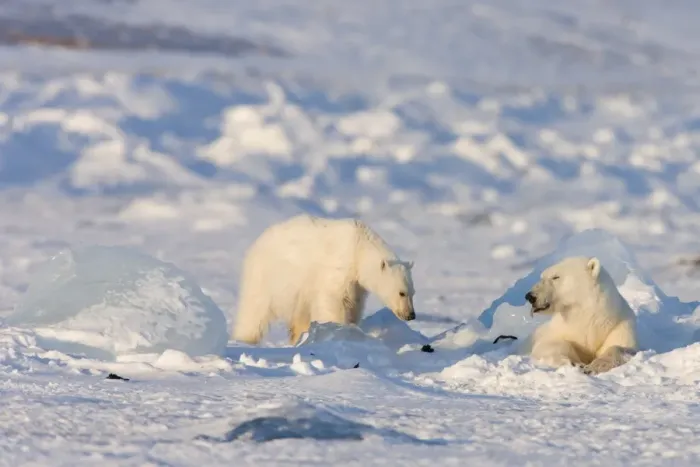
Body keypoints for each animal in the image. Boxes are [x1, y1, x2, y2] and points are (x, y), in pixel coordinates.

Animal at [232, 214, 416, 345]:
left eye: (413, 293)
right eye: (402, 293)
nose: (411, 315)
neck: (359, 247)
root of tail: (256, 243)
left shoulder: (356, 284)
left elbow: (354, 304)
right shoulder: (339, 268)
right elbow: (334, 301)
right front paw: (338, 330)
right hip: (267, 275)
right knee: (254, 311)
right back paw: (244, 339)